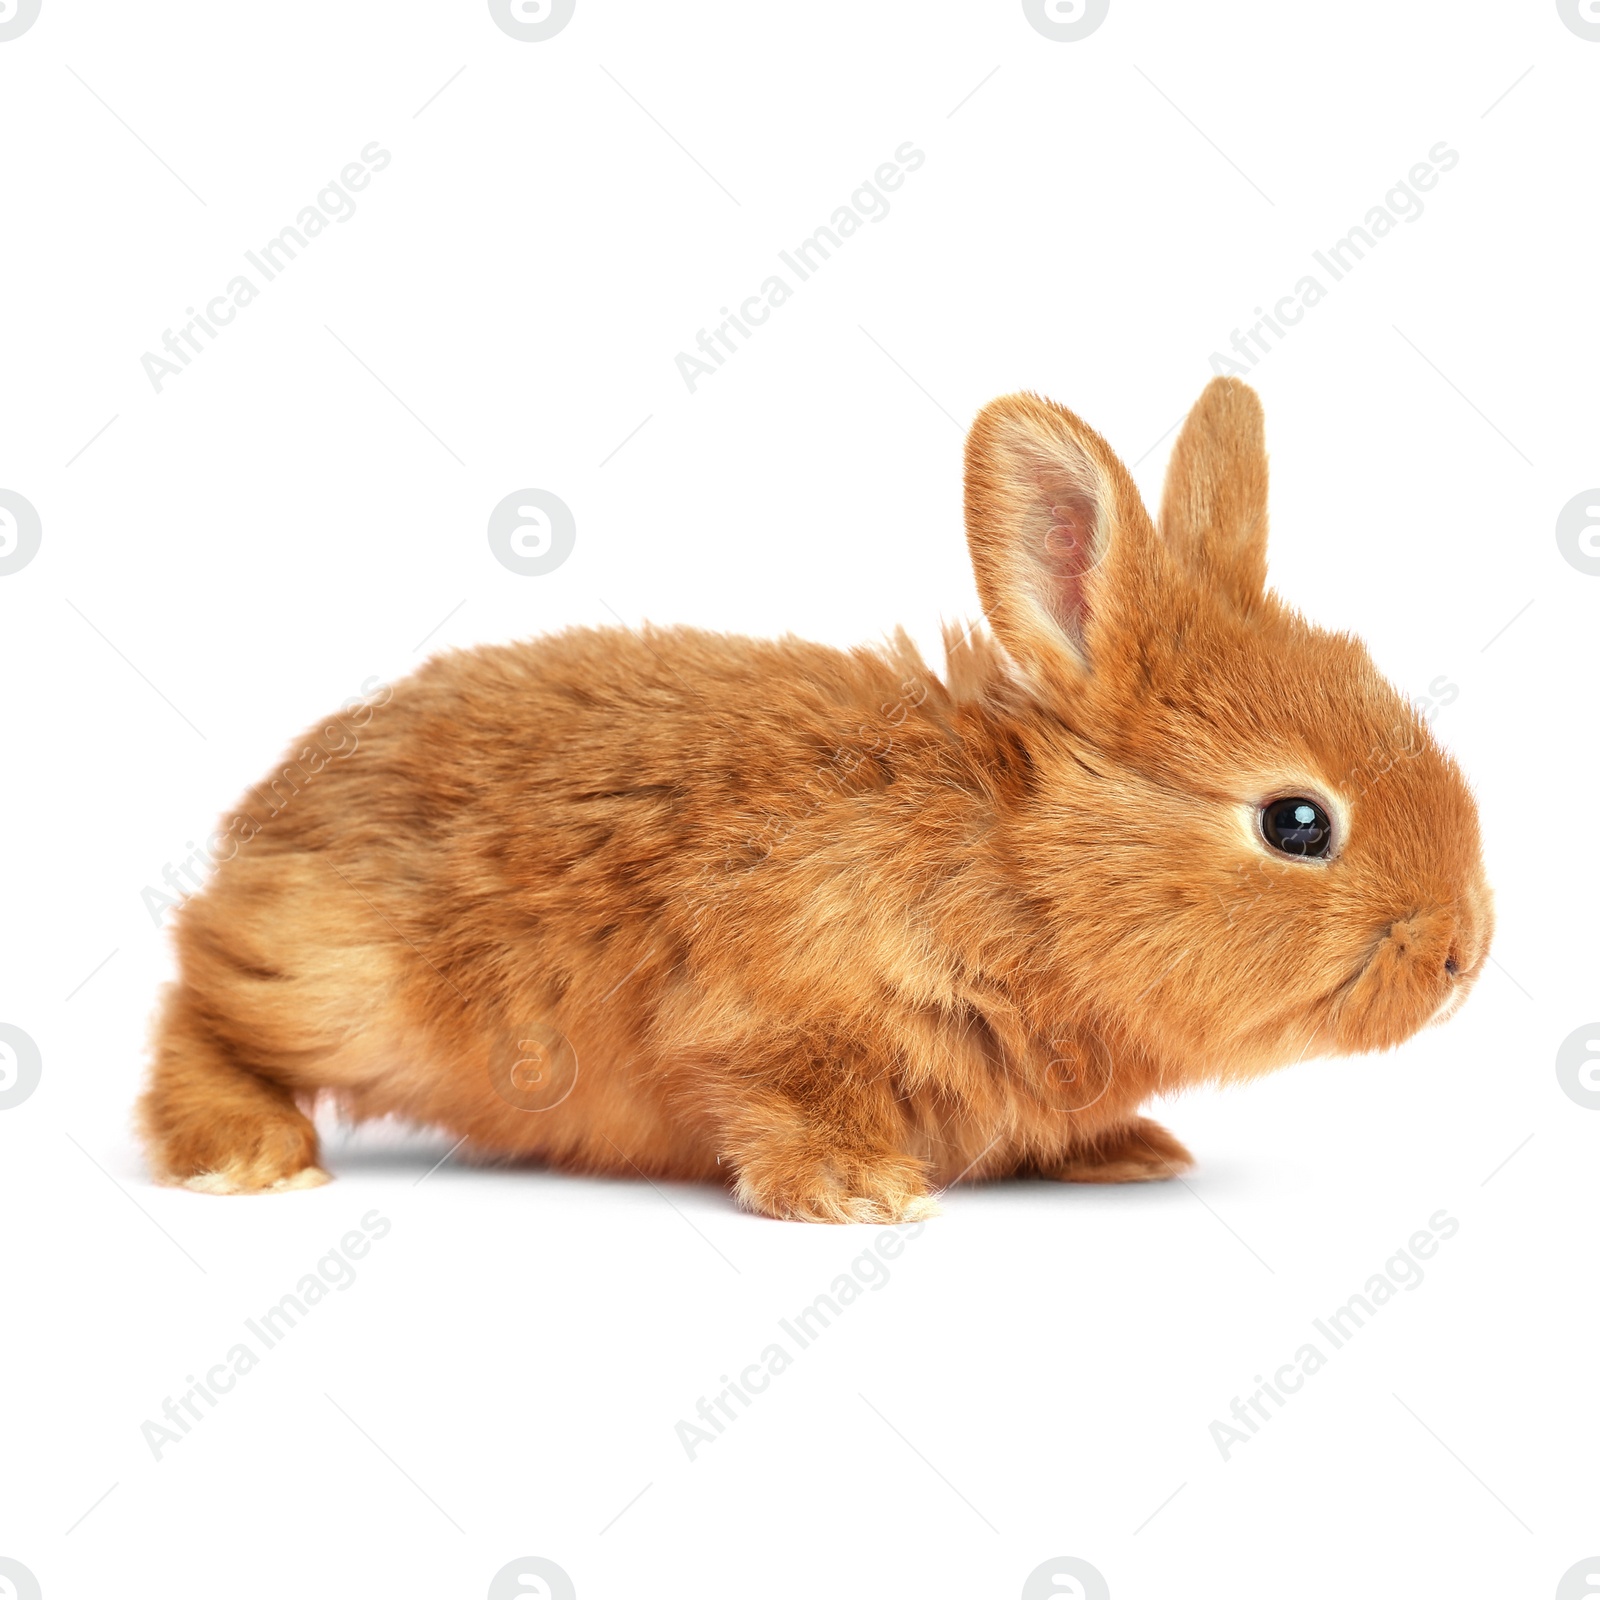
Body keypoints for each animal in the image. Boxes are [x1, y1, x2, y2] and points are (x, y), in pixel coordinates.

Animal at [140, 377, 1497, 1222]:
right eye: (1296, 822)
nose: (1463, 953)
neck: (1012, 865)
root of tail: (260, 831)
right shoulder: (765, 1015)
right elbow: (775, 1098)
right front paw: (861, 1192)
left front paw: (1127, 1154)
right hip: (336, 987)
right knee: (198, 1011)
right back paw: (244, 1156)